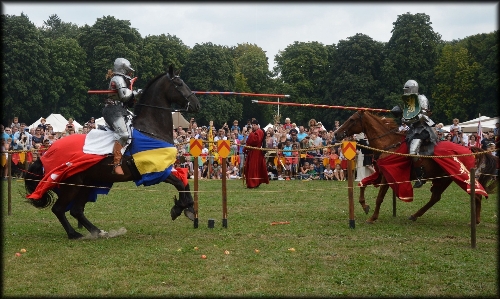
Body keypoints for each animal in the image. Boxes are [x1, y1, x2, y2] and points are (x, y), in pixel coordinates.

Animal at [24, 65, 201, 239]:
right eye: (179, 83)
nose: (196, 104)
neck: (150, 130)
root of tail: (47, 154)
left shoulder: (165, 168)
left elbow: (184, 179)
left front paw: (188, 207)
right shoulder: (155, 172)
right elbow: (179, 182)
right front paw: (180, 208)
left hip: (88, 184)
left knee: (76, 210)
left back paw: (99, 232)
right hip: (72, 185)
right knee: (59, 209)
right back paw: (74, 234)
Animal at [336, 111, 496, 224]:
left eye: (352, 119)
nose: (337, 133)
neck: (388, 144)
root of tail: (469, 150)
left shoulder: (387, 177)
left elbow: (379, 198)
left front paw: (373, 218)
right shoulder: (380, 174)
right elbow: (363, 184)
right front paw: (365, 206)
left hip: (456, 176)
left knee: (475, 194)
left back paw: (476, 221)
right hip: (444, 179)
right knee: (435, 198)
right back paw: (415, 215)